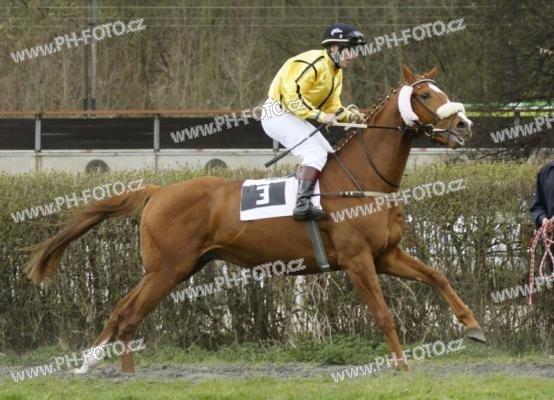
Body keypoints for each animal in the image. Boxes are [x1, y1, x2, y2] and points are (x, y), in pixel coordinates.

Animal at [24, 64, 486, 374]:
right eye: (425, 96)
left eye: (441, 91)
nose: (464, 124)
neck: (364, 178)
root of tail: (157, 191)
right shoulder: (358, 260)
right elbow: (384, 313)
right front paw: (403, 365)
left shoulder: (386, 255)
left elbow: (438, 276)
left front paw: (473, 326)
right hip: (166, 268)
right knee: (128, 312)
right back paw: (107, 371)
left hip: (179, 266)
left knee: (125, 311)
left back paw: (110, 370)